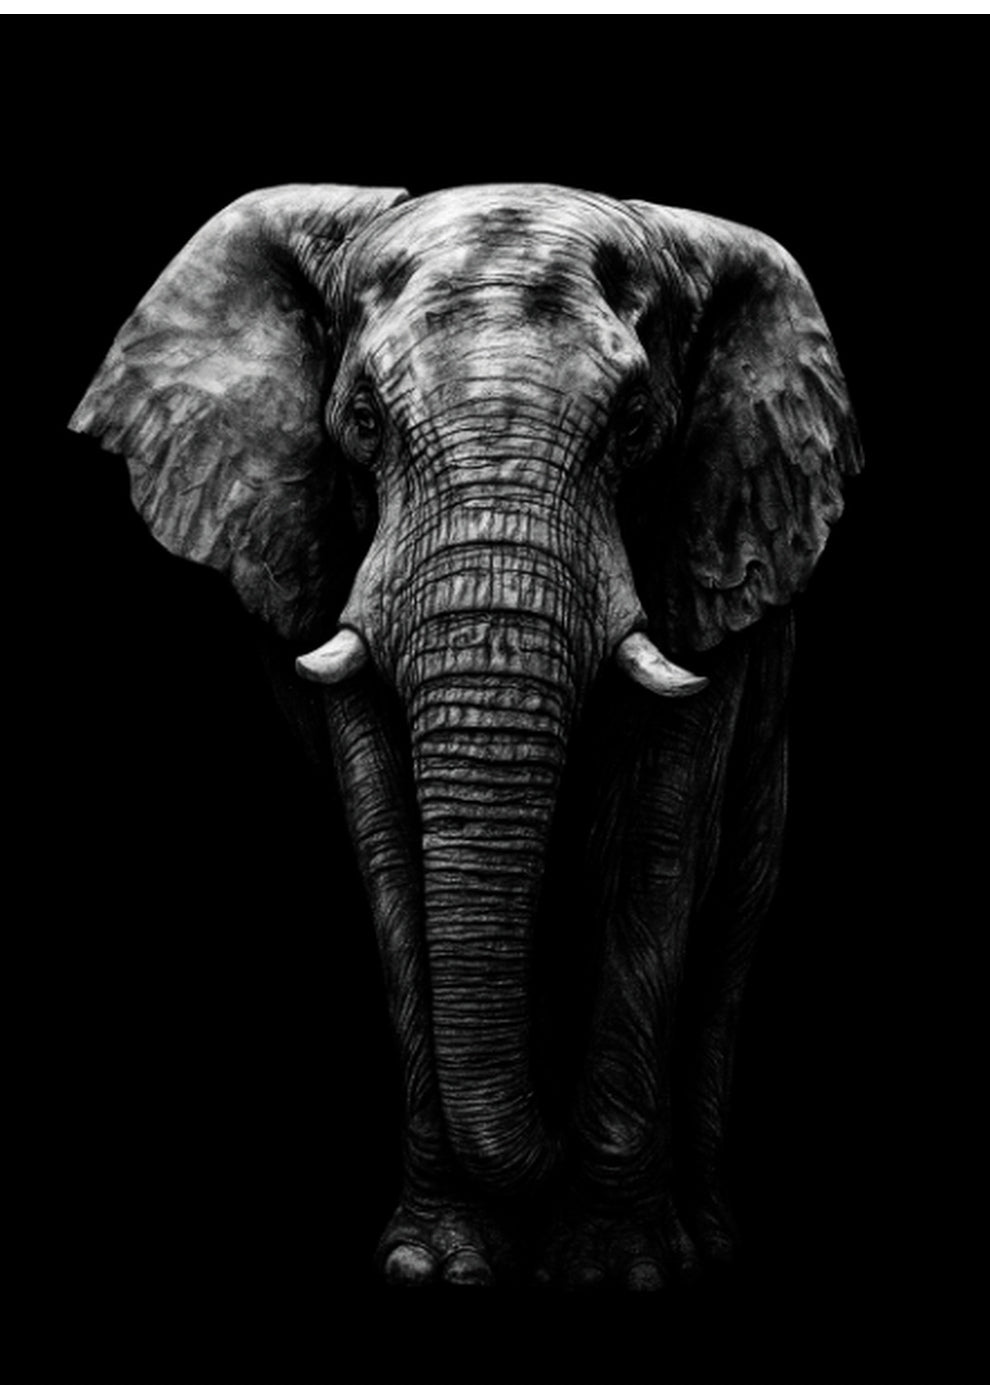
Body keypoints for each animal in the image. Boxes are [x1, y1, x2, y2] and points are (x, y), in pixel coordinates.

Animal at [70, 181, 862, 1290]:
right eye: (362, 422)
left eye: (636, 426)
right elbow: (388, 850)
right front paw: (441, 1263)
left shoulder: (709, 538)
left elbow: (658, 850)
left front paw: (615, 1269)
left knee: (731, 911)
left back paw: (709, 1238)